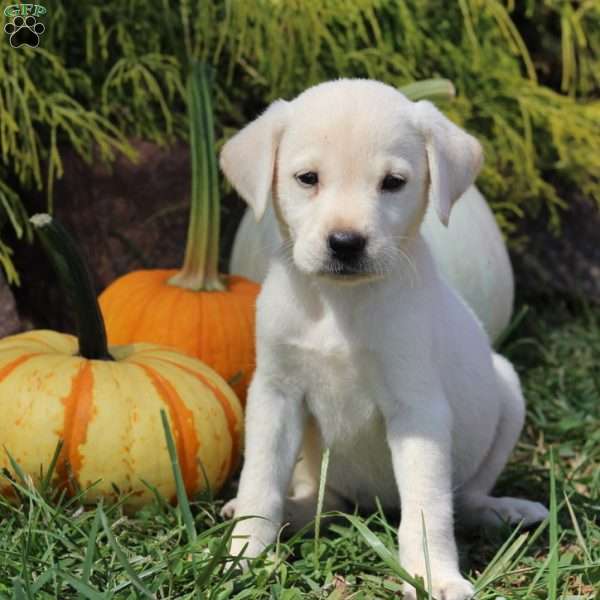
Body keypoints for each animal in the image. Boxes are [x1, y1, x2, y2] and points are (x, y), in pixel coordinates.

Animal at [220, 81, 548, 600]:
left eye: (393, 182)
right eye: (307, 178)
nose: (345, 243)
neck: (340, 304)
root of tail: (373, 503)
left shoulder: (418, 410)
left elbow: (428, 508)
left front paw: (435, 577)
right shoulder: (276, 394)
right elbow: (260, 484)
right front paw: (243, 555)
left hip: (508, 388)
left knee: (464, 498)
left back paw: (503, 510)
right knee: (325, 502)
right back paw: (292, 511)